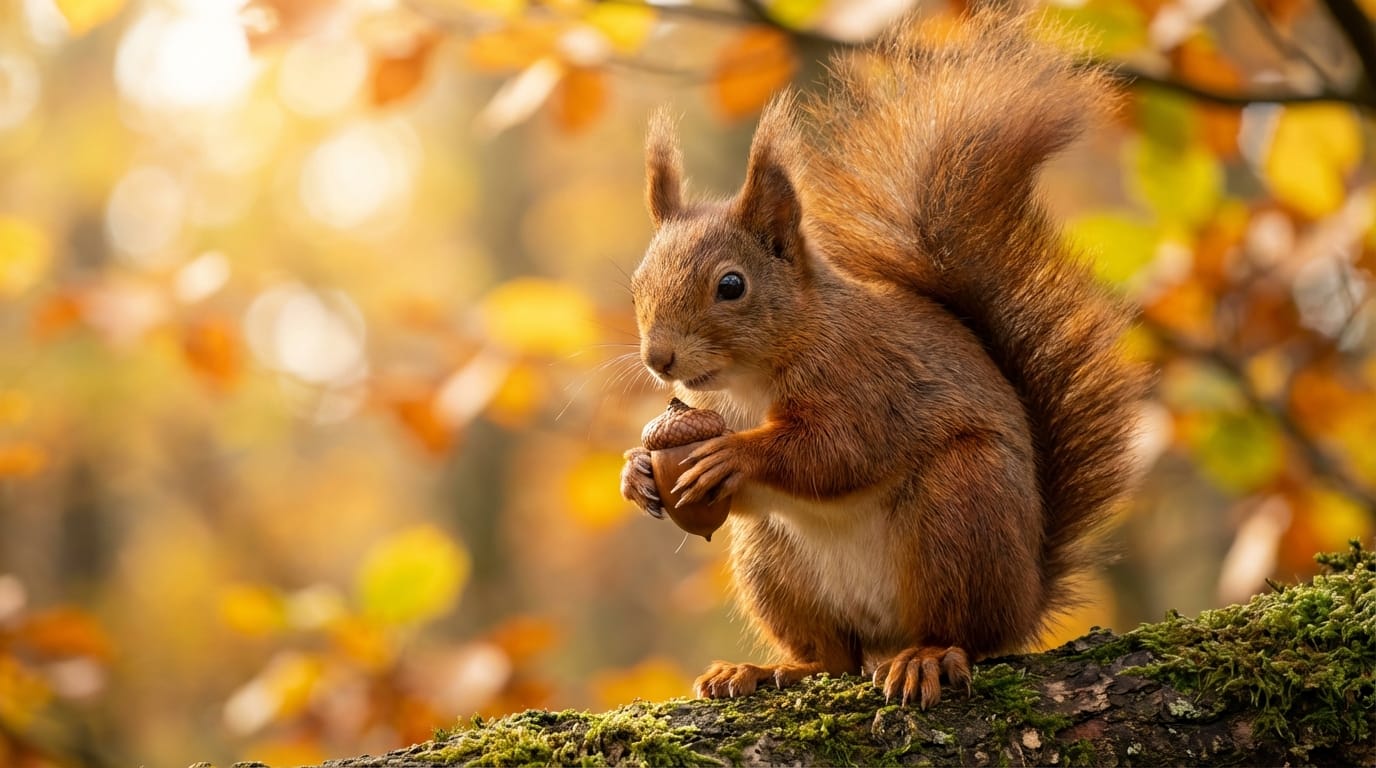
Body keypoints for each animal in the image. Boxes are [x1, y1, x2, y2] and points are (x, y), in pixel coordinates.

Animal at [619, 8, 1147, 708]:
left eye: (731, 285)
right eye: (636, 282)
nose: (660, 358)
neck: (749, 381)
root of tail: (1027, 596)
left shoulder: (867, 379)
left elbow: (838, 451)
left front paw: (733, 453)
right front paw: (635, 471)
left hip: (961, 509)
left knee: (962, 632)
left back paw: (927, 657)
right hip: (772, 563)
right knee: (833, 657)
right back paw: (763, 670)